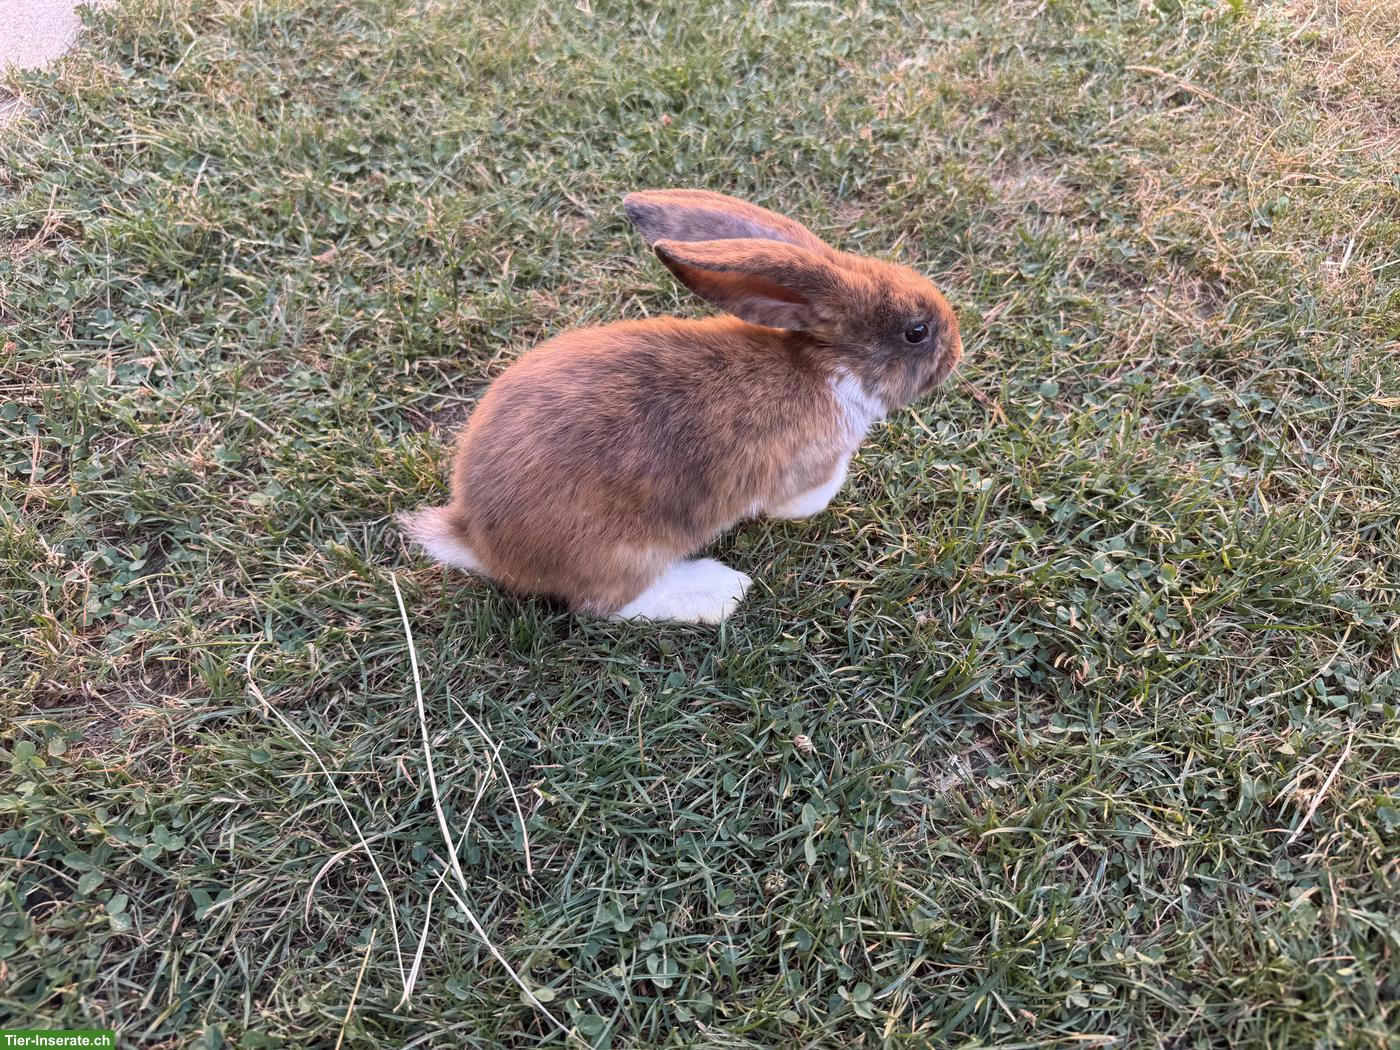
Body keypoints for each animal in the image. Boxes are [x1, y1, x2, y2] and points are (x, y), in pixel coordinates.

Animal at [401, 189, 962, 623]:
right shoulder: (806, 470)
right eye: (917, 332)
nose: (956, 352)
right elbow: (804, 499)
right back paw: (721, 591)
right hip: (626, 552)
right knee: (607, 605)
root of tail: (474, 537)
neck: (829, 364)